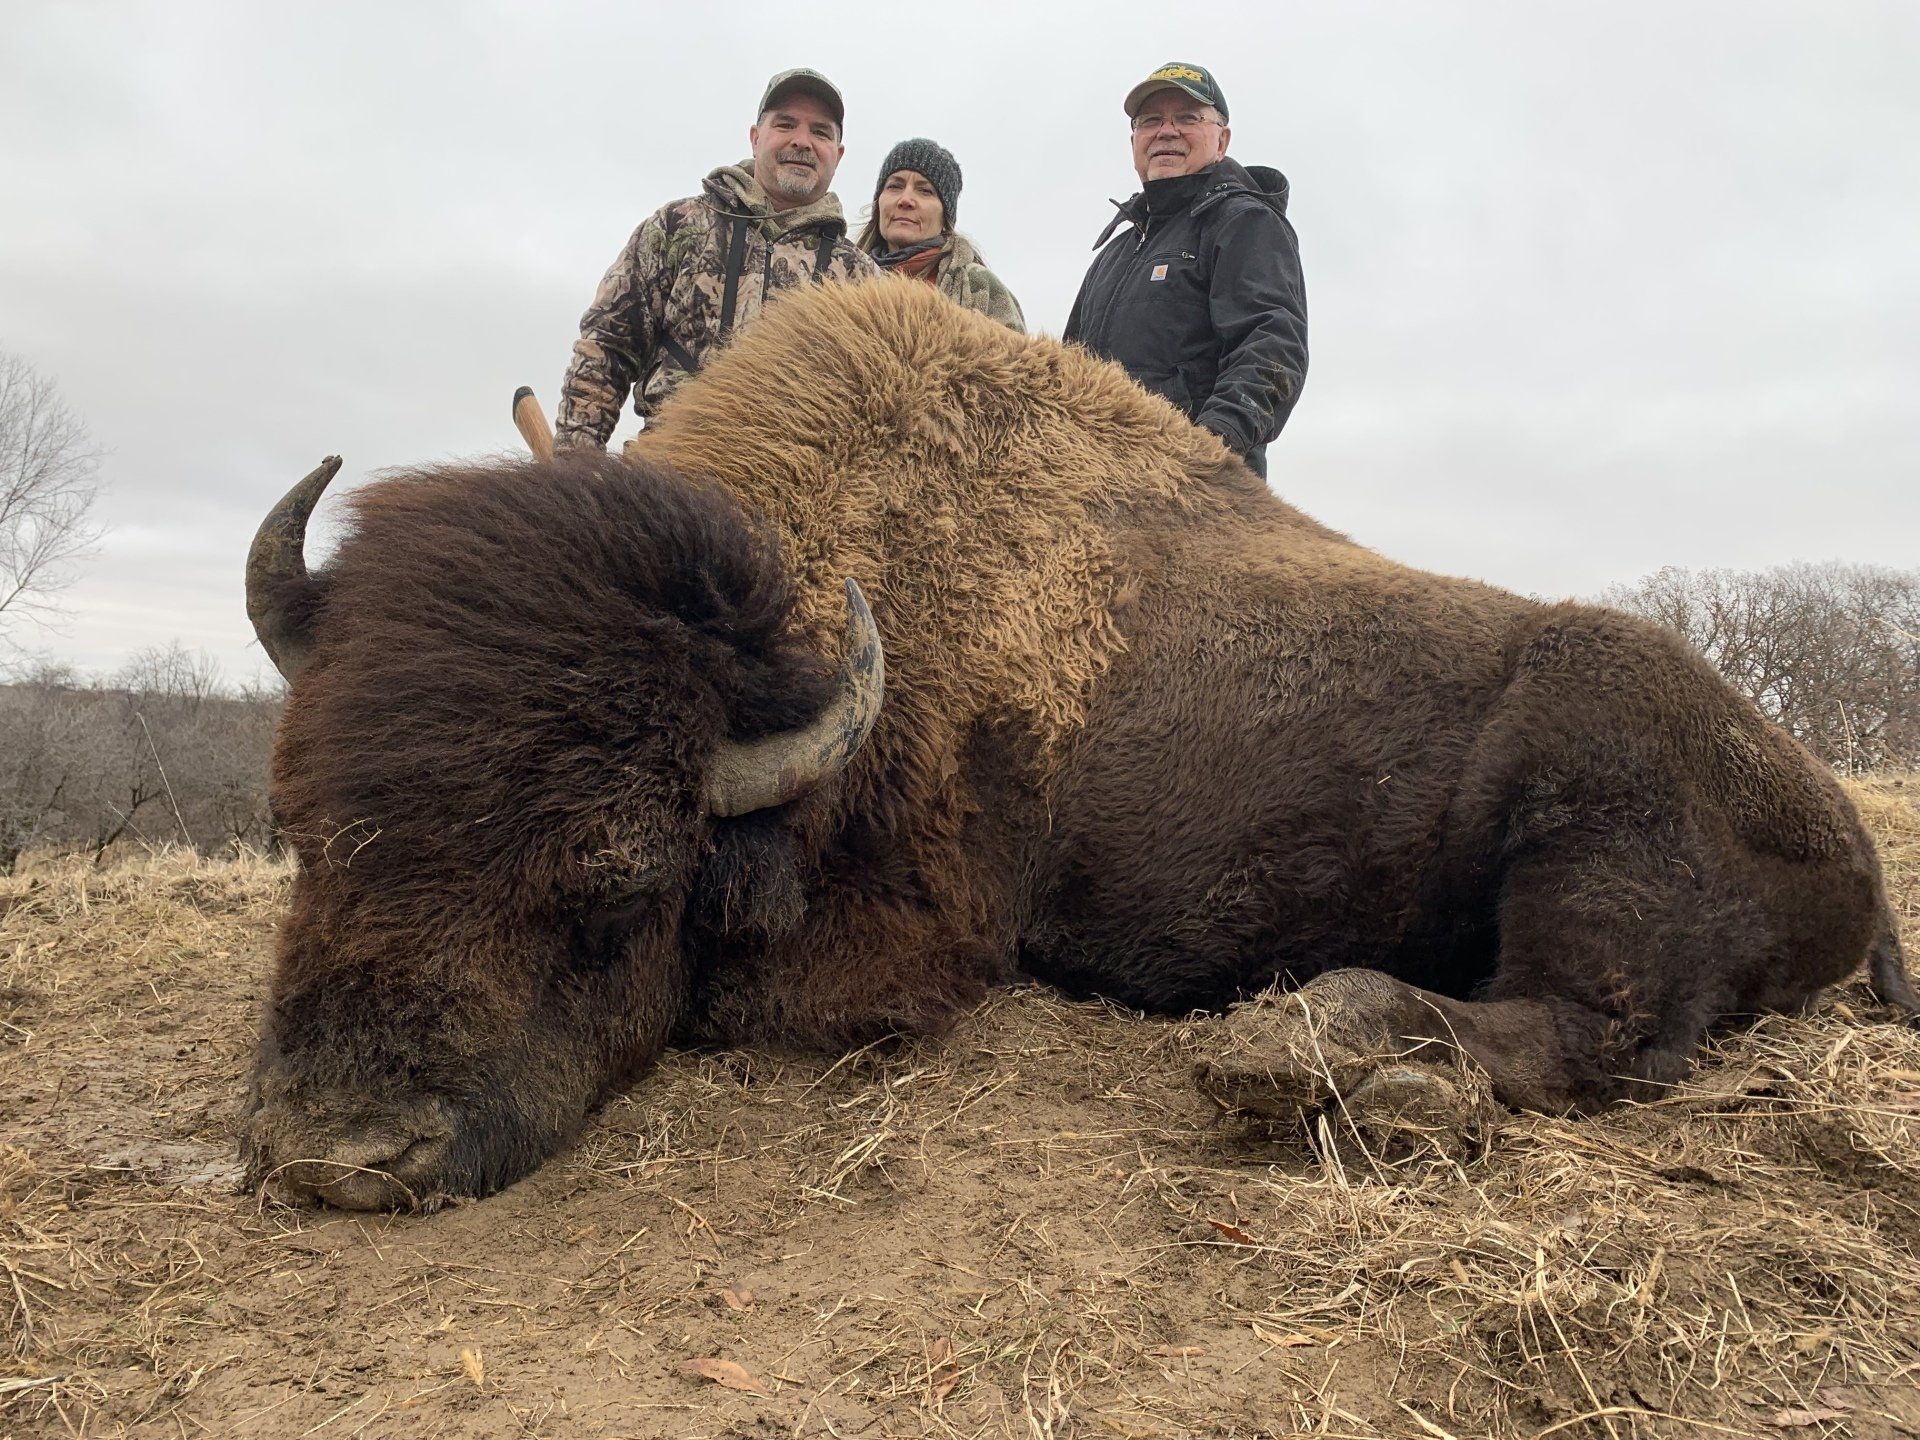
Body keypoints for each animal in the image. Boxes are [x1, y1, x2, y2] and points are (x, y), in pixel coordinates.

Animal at [241, 280, 1912, 1210]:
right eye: (309, 837)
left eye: (616, 884)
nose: (340, 1153)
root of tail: (1844, 822)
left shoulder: (912, 954)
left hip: (1595, 807)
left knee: (1587, 1032)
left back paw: (1305, 1058)